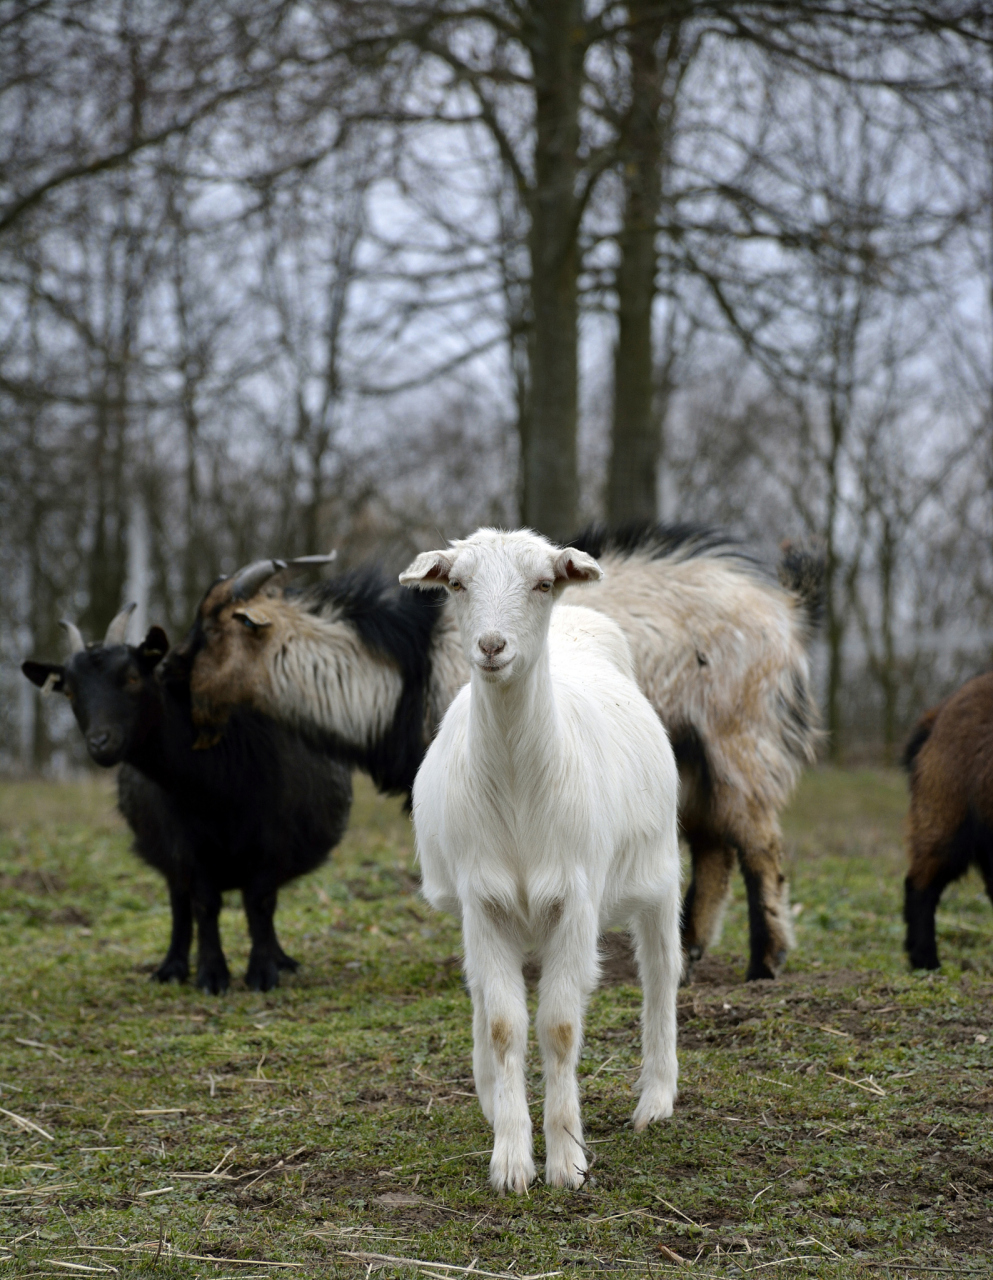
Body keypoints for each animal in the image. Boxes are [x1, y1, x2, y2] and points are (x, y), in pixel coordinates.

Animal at [21, 606, 350, 988]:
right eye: (70, 693)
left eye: (132, 677)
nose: (101, 743)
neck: (217, 786)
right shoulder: (183, 842)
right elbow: (204, 904)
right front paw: (211, 975)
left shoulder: (274, 839)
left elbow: (260, 902)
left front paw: (263, 973)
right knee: (180, 902)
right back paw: (172, 967)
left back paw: (280, 960)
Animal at [180, 519, 824, 977]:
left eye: (211, 632)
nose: (186, 710)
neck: (407, 670)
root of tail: (784, 609)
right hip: (688, 754)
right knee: (713, 840)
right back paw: (690, 948)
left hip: (738, 730)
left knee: (758, 839)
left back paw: (764, 962)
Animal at [396, 524, 680, 1192]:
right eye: (457, 583)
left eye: (543, 582)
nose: (491, 646)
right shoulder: (483, 900)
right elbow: (504, 1025)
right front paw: (511, 1159)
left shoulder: (576, 899)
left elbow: (559, 1026)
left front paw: (567, 1160)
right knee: (481, 995)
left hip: (660, 871)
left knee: (662, 973)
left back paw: (656, 1100)